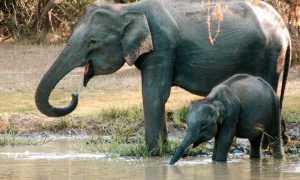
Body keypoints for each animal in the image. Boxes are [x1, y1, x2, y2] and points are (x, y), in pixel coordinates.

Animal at [34, 0, 290, 152]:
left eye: (92, 42)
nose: (74, 93)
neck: (126, 8)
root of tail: (285, 30)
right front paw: (159, 150)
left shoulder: (163, 47)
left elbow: (154, 94)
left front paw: (153, 153)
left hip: (270, 55)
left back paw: (269, 149)